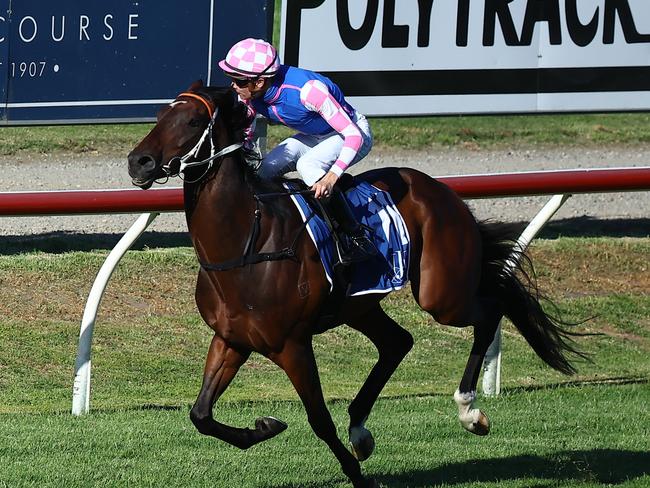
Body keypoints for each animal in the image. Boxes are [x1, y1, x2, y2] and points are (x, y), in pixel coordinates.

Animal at [128, 82, 584, 486]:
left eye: (191, 121)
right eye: (159, 115)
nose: (139, 162)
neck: (245, 243)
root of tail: (442, 189)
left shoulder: (292, 344)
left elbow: (318, 419)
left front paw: (357, 476)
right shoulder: (231, 338)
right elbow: (200, 414)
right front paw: (265, 427)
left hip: (441, 295)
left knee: (488, 311)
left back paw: (469, 411)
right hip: (359, 304)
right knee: (398, 341)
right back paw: (361, 430)